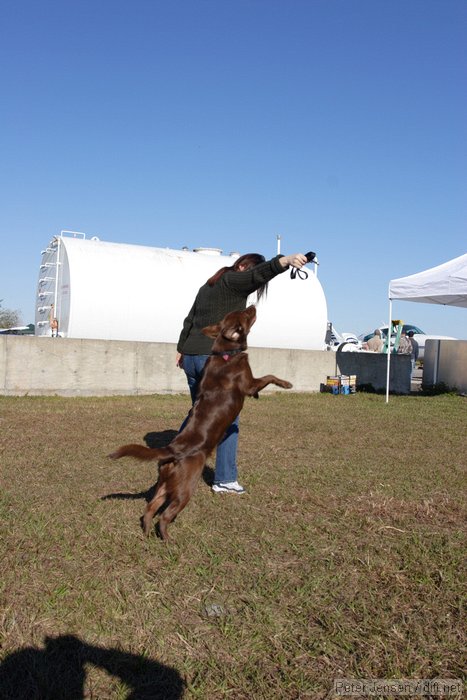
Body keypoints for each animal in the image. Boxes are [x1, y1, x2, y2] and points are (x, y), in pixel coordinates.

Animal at [109, 304, 292, 540]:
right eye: (246, 315)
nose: (252, 305)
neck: (225, 353)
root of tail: (172, 450)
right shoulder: (249, 383)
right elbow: (269, 376)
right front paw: (286, 383)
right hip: (185, 488)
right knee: (164, 516)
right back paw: (168, 541)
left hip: (165, 486)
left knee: (149, 509)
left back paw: (147, 533)